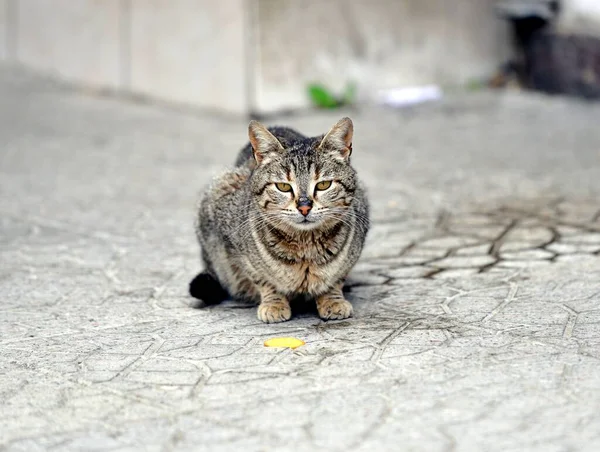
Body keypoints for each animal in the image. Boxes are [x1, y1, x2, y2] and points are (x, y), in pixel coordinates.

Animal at [191, 116, 370, 322]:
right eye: (283, 187)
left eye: (324, 185)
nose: (304, 206)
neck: (306, 248)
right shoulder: (235, 247)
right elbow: (262, 278)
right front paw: (274, 303)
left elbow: (336, 278)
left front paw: (332, 299)